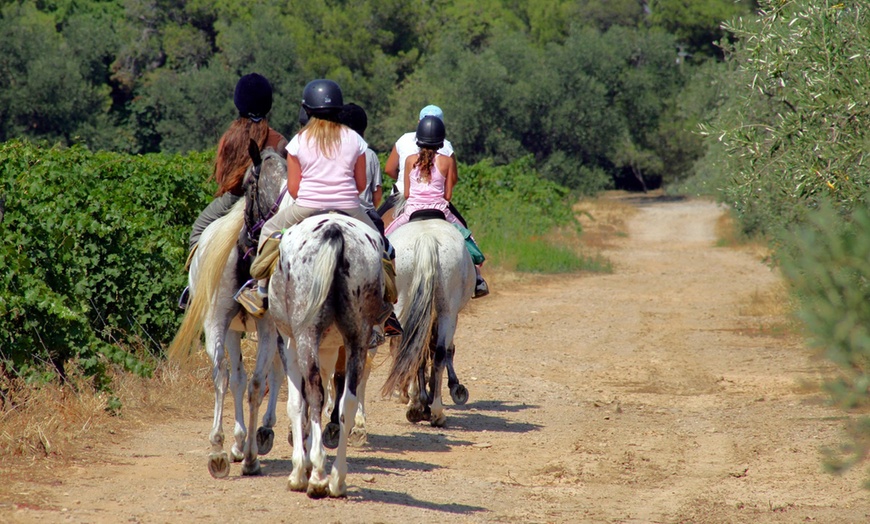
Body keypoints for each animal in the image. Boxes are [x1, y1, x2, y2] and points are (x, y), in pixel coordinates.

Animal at [170, 144, 290, 478]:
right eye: (253, 182)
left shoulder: (261, 329)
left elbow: (254, 382)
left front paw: (248, 452)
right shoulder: (221, 326)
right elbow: (228, 378)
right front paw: (225, 446)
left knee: (269, 373)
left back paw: (256, 437)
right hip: (236, 328)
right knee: (238, 377)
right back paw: (240, 443)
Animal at [242, 211, 384, 498]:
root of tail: (334, 231)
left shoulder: (288, 343)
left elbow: (298, 403)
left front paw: (301, 470)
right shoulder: (328, 348)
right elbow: (321, 399)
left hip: (305, 333)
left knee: (316, 393)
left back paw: (318, 476)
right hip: (358, 337)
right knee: (348, 400)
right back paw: (337, 480)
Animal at [384, 215, 476, 428]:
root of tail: (426, 239)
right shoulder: (452, 316)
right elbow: (444, 350)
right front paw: (452, 387)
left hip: (404, 304)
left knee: (411, 348)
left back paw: (419, 407)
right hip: (447, 312)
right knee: (437, 352)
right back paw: (434, 410)